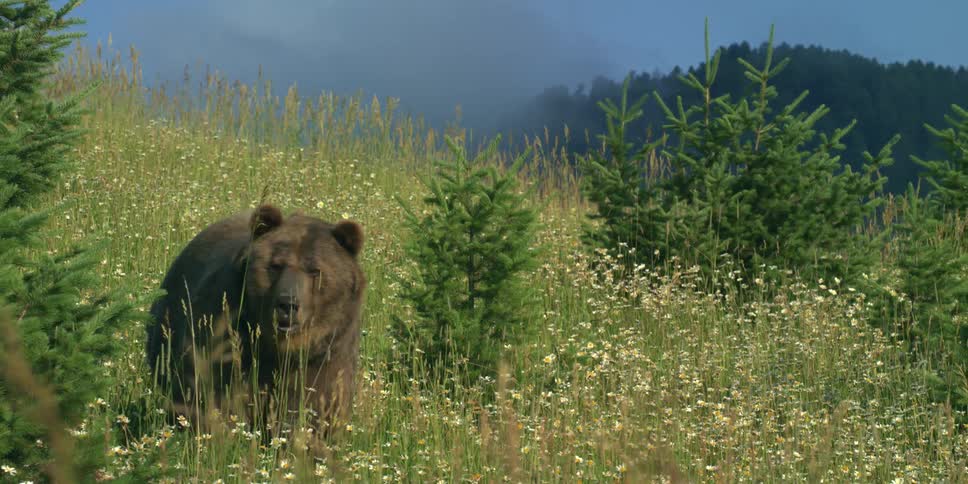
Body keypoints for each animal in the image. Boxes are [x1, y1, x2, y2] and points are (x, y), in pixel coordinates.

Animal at [145, 204, 366, 434]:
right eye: (276, 265)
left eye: (315, 270)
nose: (288, 304)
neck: (279, 349)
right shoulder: (227, 332)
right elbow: (215, 393)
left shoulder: (327, 352)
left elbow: (314, 405)